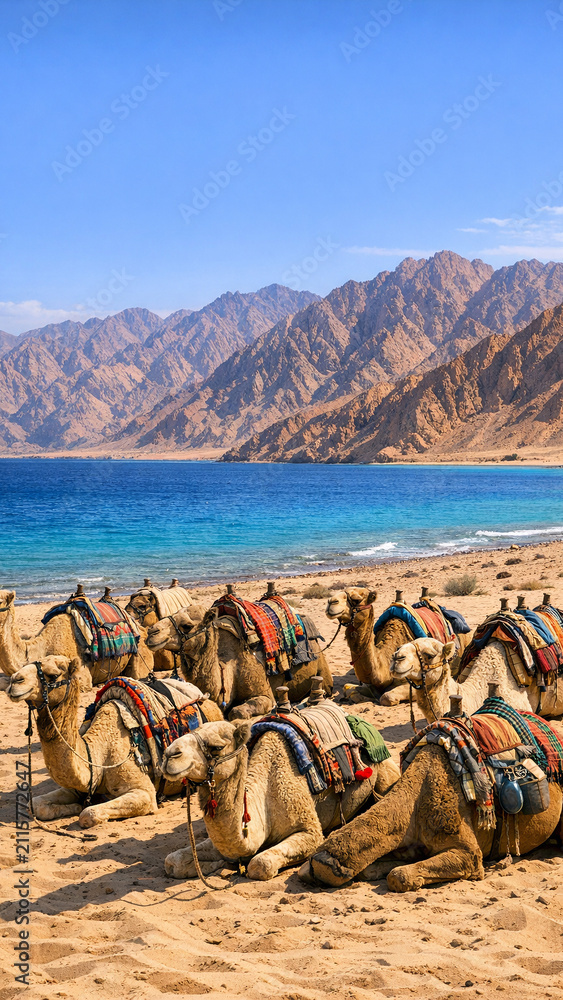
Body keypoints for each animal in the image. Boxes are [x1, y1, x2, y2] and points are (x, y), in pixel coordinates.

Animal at [0, 655, 223, 826]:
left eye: (53, 675)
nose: (15, 680)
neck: (99, 755)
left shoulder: (145, 793)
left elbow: (88, 813)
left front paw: (81, 807)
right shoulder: (78, 786)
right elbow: (35, 804)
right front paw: (73, 805)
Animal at [161, 718, 400, 880]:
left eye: (217, 747)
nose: (169, 754)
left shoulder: (310, 830)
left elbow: (260, 864)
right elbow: (171, 861)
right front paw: (216, 863)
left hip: (385, 769)